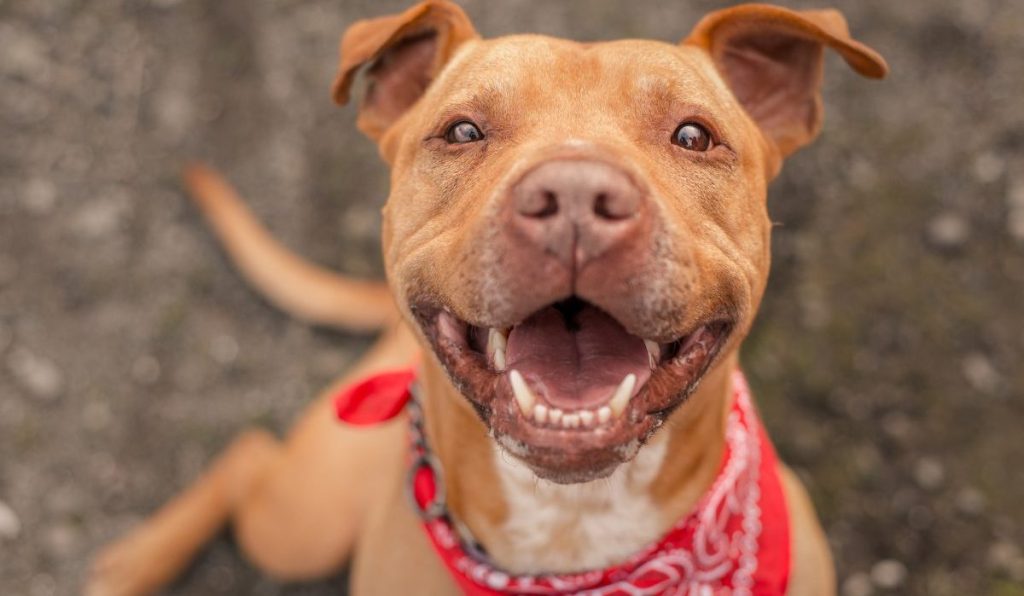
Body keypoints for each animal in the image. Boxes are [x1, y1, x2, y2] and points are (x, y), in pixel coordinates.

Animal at [88, 2, 888, 593]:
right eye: (463, 130)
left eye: (694, 136)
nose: (575, 198)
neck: (571, 522)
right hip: (302, 522)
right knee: (247, 455)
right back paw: (135, 561)